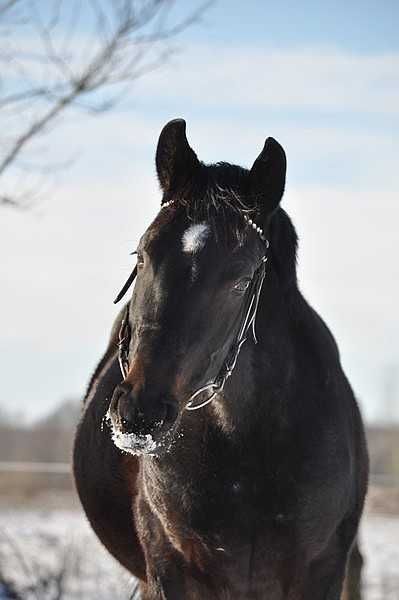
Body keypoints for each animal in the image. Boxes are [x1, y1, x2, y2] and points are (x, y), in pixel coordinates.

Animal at [74, 118, 368, 600]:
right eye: (142, 254)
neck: (247, 446)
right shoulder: (170, 569)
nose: (140, 414)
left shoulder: (322, 570)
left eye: (242, 279)